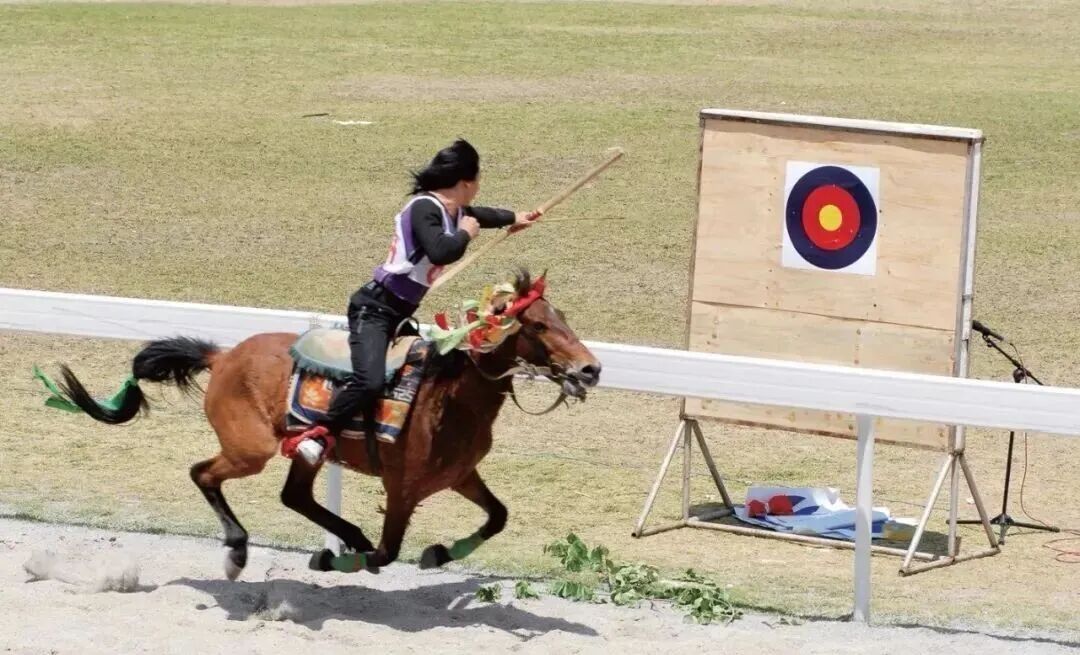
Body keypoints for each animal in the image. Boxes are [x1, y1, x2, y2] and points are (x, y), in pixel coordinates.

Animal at [43, 270, 601, 578]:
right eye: (537, 325)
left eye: (563, 317)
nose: (590, 369)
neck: (449, 397)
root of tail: (222, 356)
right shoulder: (403, 488)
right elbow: (386, 553)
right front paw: (343, 558)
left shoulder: (461, 475)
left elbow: (498, 516)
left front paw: (441, 553)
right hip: (250, 449)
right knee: (203, 473)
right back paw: (240, 552)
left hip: (302, 451)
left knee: (295, 495)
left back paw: (345, 535)